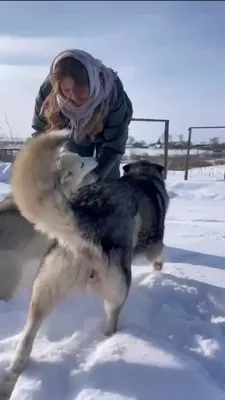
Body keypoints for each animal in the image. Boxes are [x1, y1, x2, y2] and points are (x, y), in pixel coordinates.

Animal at [7, 130, 169, 376]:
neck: (142, 177)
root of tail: (84, 218)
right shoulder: (153, 244)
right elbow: (160, 253)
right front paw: (159, 269)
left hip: (44, 291)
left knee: (27, 336)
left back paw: (16, 368)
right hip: (118, 289)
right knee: (112, 318)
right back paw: (113, 339)